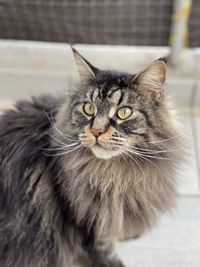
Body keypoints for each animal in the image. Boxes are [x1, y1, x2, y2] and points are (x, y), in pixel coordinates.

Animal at [0, 48, 184, 267]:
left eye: (124, 112)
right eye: (89, 108)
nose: (96, 131)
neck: (114, 174)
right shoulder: (90, 224)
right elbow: (106, 252)